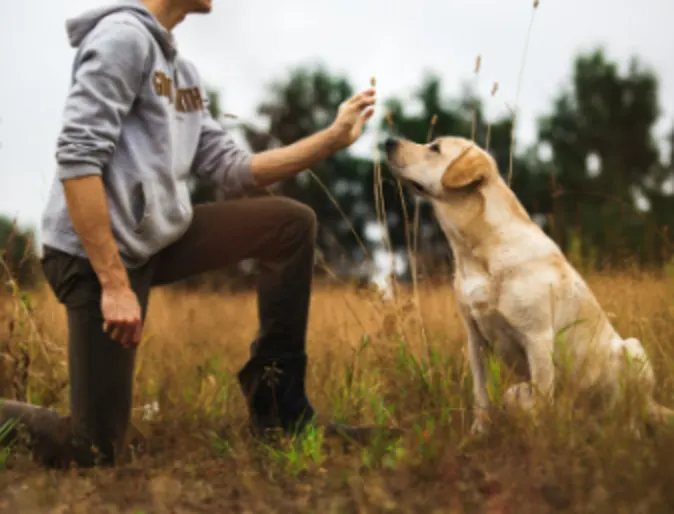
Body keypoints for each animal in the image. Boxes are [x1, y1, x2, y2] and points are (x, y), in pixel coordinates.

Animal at [380, 133, 668, 432]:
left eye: (434, 148)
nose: (388, 141)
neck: (478, 252)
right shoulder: (476, 340)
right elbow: (481, 396)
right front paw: (478, 433)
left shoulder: (538, 338)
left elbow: (540, 403)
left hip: (633, 350)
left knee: (631, 414)